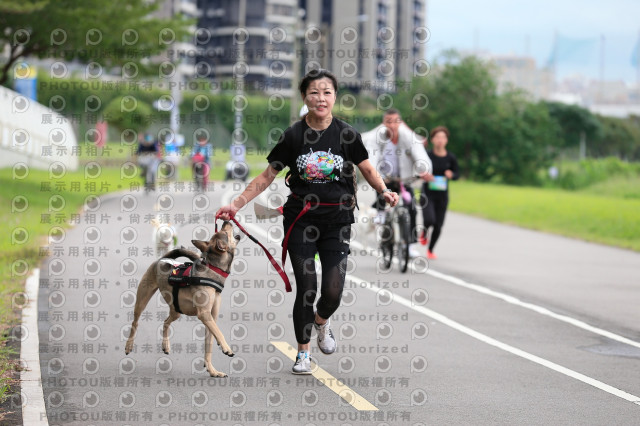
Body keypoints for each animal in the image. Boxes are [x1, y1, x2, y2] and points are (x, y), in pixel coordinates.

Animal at [125, 221, 240, 378]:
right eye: (225, 232)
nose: (226, 221)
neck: (213, 269)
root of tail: (162, 258)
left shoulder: (211, 318)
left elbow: (209, 345)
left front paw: (212, 370)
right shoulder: (204, 314)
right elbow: (219, 333)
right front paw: (226, 348)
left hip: (176, 310)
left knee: (165, 322)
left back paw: (165, 345)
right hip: (142, 299)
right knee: (135, 323)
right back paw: (128, 346)